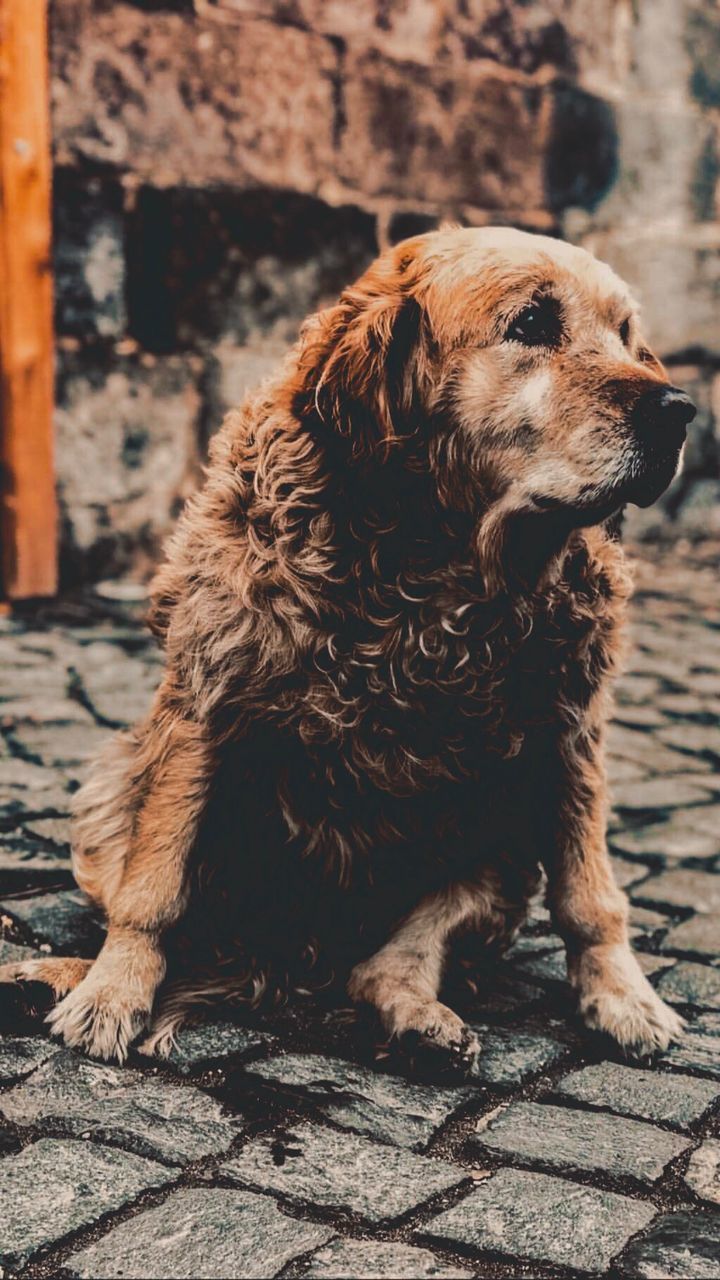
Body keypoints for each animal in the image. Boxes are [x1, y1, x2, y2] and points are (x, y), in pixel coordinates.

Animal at [1, 225, 696, 1064]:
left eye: (627, 335)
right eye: (533, 322)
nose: (680, 410)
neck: (440, 565)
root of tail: (299, 957)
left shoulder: (569, 734)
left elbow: (591, 900)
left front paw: (624, 996)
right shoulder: (206, 702)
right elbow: (153, 891)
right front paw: (113, 991)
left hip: (498, 849)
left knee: (387, 964)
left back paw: (418, 1017)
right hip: (115, 785)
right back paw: (55, 975)